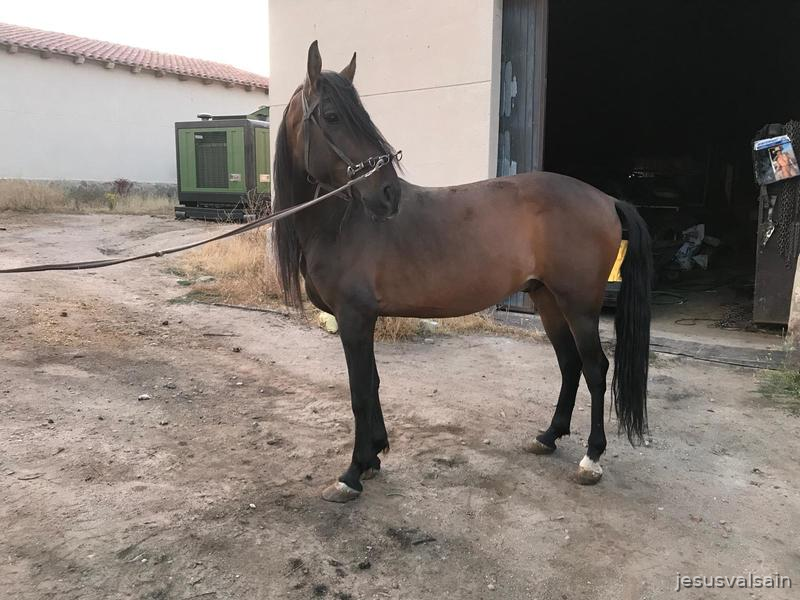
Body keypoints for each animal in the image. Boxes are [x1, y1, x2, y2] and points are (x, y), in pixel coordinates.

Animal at [272, 41, 653, 503]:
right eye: (331, 116)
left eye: (359, 115)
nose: (388, 193)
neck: (340, 222)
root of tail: (606, 198)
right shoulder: (363, 321)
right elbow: (374, 383)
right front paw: (376, 455)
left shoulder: (353, 319)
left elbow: (360, 392)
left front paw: (353, 472)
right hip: (547, 300)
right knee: (569, 363)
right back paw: (548, 436)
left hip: (578, 305)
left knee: (595, 369)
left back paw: (591, 458)